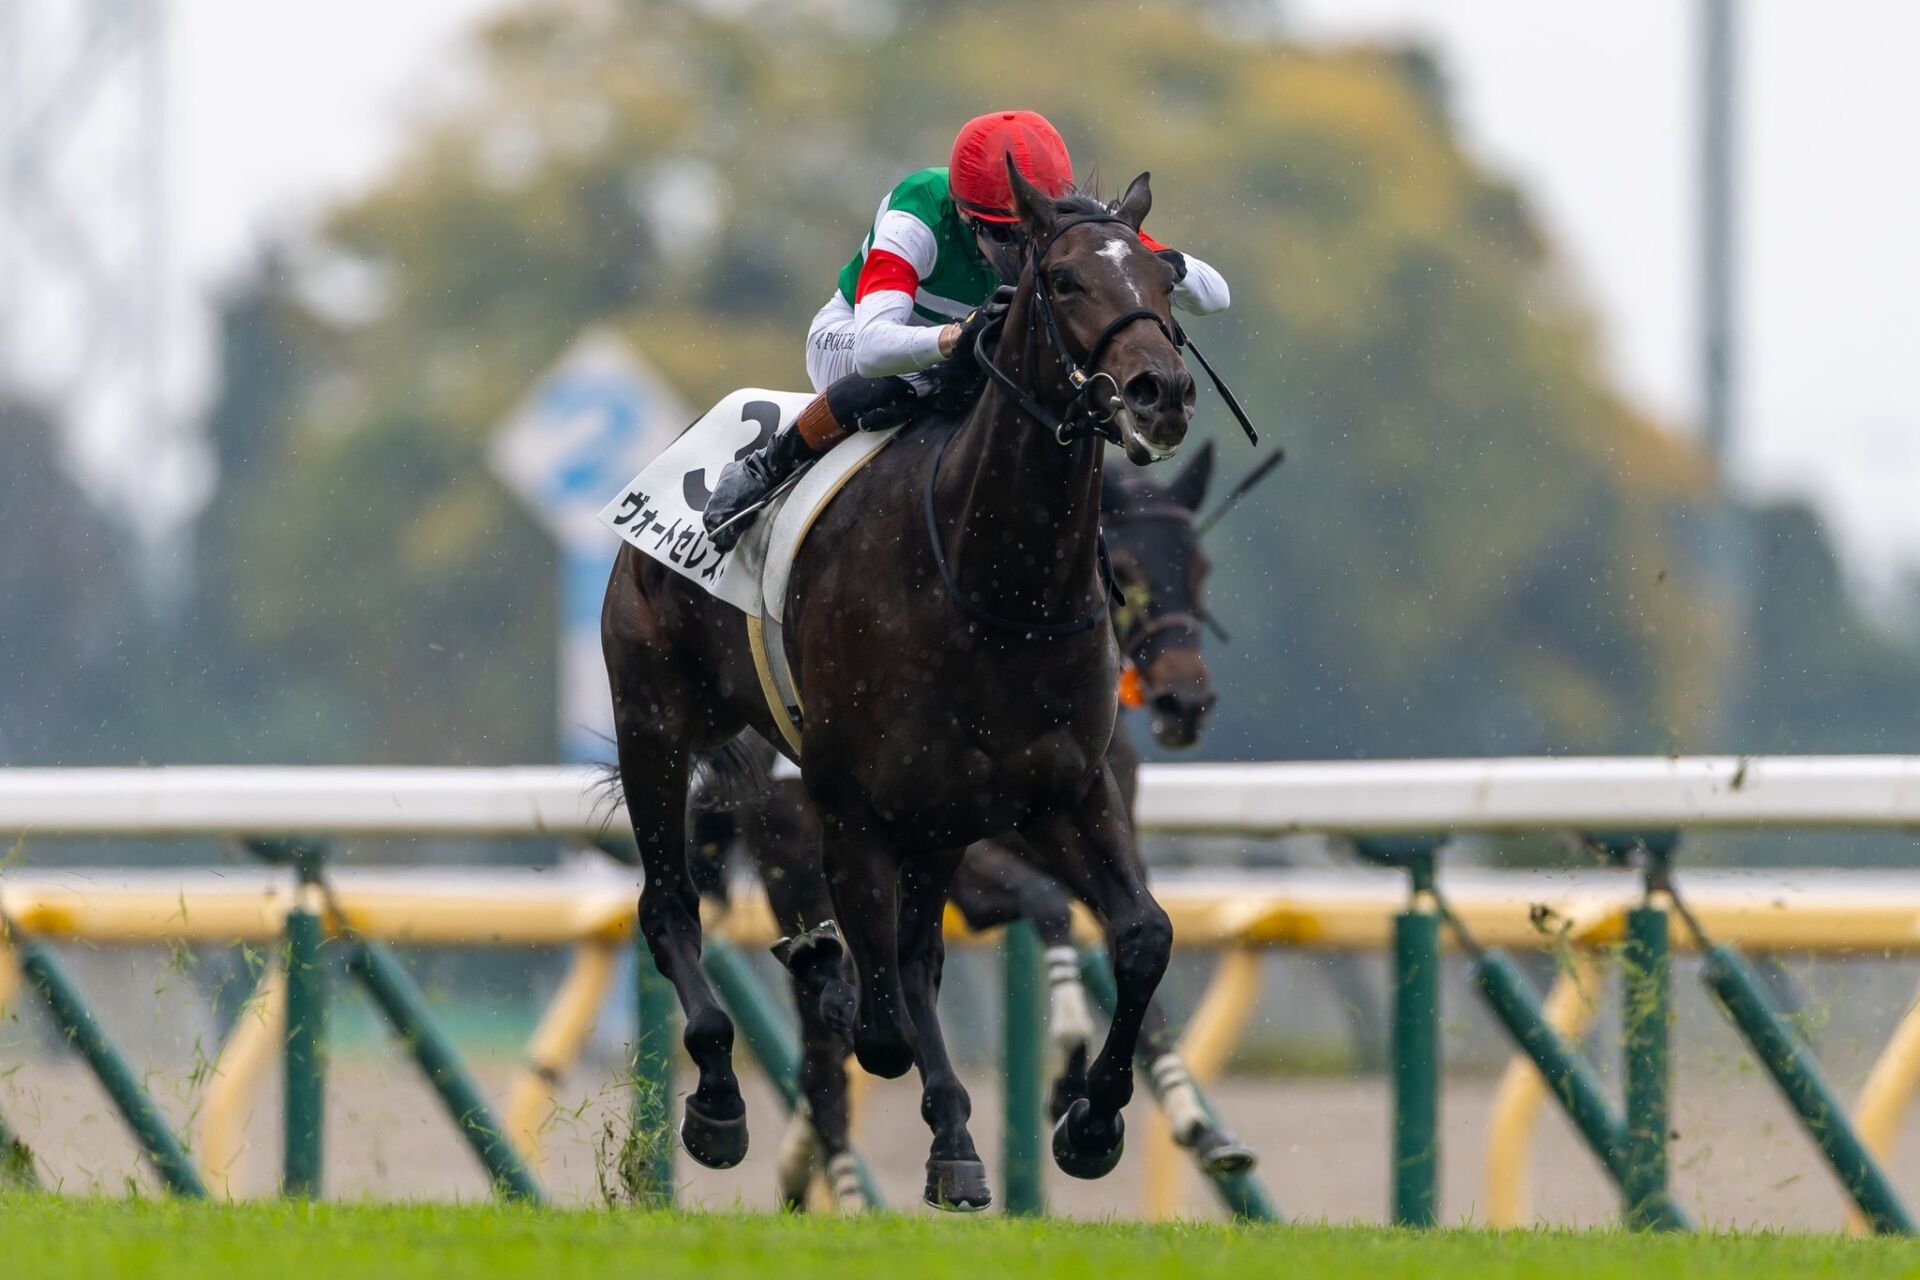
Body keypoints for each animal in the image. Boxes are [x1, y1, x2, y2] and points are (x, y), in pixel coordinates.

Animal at [603, 161, 1195, 1210]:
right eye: (1065, 280)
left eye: (1164, 277)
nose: (1158, 389)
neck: (996, 581)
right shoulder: (850, 803)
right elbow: (875, 1014)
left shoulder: (1061, 790)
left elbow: (1140, 935)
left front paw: (1092, 1120)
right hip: (656, 722)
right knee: (672, 904)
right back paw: (719, 1097)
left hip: (940, 819)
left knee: (914, 964)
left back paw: (952, 1137)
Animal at [692, 444, 1257, 1210]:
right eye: (1129, 569)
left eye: (1196, 567)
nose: (1185, 700)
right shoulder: (972, 865)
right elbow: (1048, 909)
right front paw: (1067, 1070)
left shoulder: (1105, 839)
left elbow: (1141, 952)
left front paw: (1196, 1125)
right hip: (799, 876)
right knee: (823, 1060)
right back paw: (841, 1184)